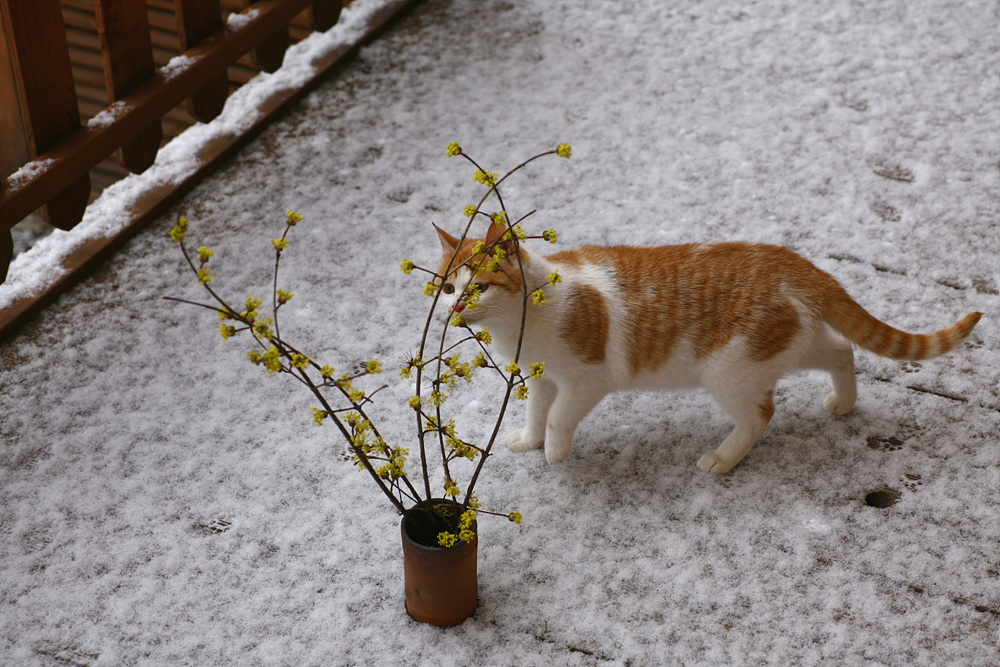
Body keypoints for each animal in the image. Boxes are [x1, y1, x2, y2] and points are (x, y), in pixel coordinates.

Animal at [434, 226, 980, 474]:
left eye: (479, 286)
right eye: (446, 286)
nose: (455, 308)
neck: (522, 324)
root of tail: (796, 264)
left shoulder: (587, 380)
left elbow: (558, 419)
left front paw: (554, 452)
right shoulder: (540, 375)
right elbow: (535, 413)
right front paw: (529, 441)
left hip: (731, 371)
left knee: (761, 413)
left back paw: (723, 458)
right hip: (787, 347)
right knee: (843, 350)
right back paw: (843, 403)